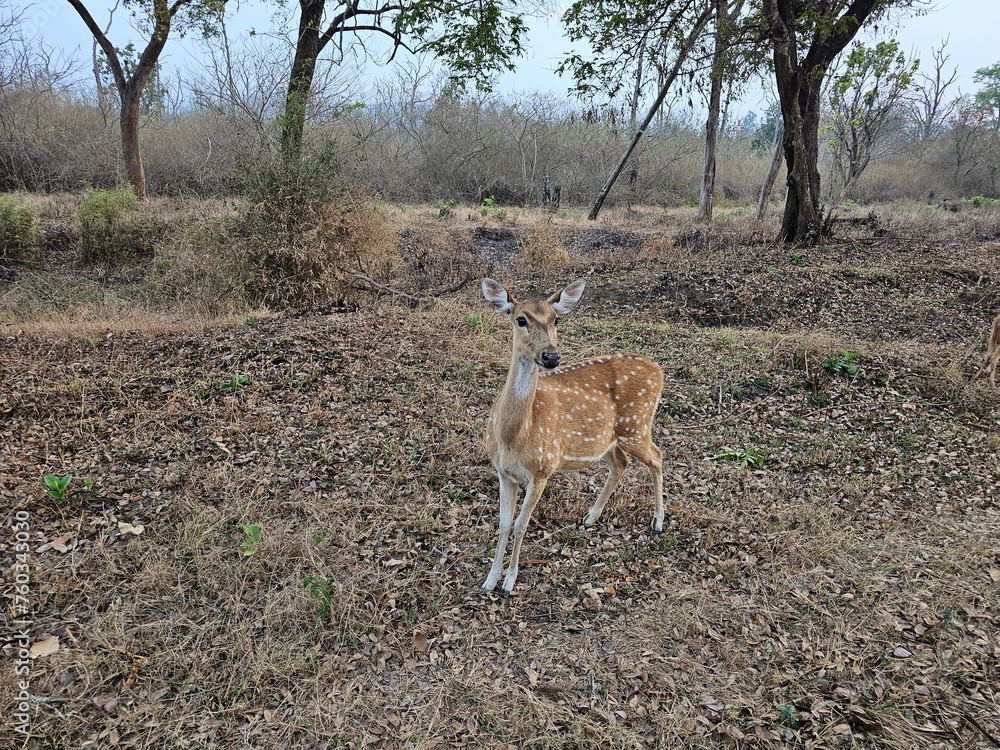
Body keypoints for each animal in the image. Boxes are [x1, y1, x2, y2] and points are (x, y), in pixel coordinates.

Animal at [480, 277, 665, 594]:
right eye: (521, 319)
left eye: (556, 319)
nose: (551, 356)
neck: (513, 436)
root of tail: (659, 370)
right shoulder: (504, 473)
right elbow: (503, 524)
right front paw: (490, 579)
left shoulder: (542, 469)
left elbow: (520, 525)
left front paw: (510, 581)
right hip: (611, 439)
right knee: (622, 463)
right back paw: (591, 517)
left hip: (637, 426)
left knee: (657, 456)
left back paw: (658, 521)